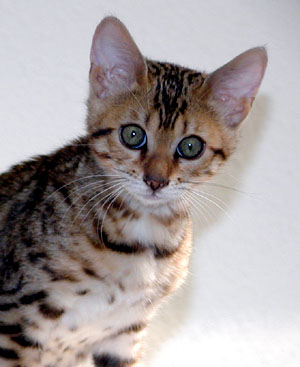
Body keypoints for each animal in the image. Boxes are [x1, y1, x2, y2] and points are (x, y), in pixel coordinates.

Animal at [0, 16, 268, 367]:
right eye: (132, 135)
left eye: (191, 147)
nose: (156, 181)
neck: (142, 240)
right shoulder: (15, 320)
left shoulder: (125, 334)